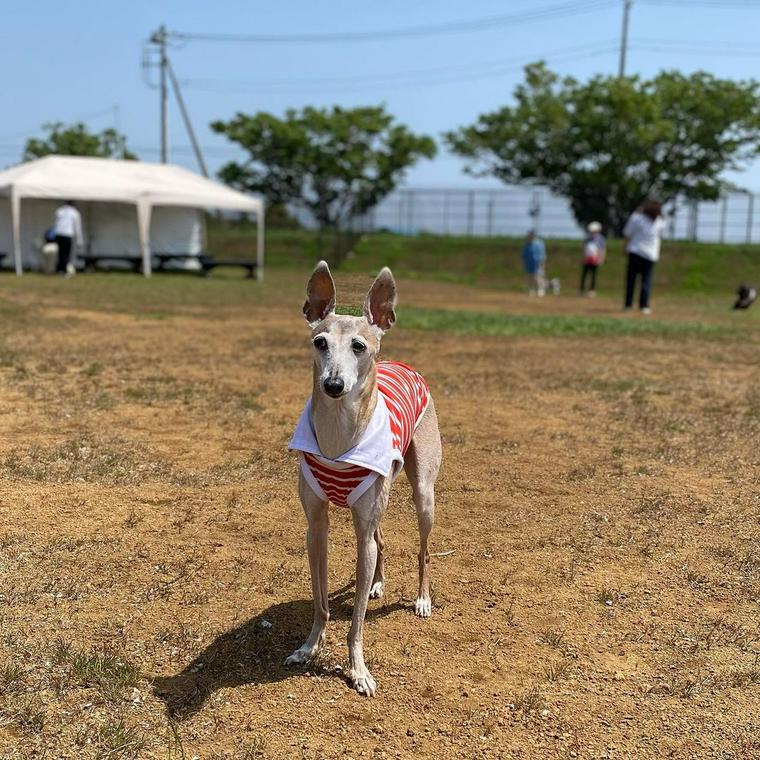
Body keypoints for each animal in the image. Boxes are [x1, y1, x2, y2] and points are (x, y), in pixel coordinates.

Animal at [286, 262, 442, 696]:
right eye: (320, 342)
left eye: (359, 346)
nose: (333, 385)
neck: (339, 436)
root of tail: (404, 365)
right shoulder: (315, 526)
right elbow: (321, 601)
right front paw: (310, 646)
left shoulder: (365, 526)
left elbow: (355, 621)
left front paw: (358, 670)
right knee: (380, 538)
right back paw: (376, 583)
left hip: (423, 494)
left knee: (423, 549)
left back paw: (422, 599)